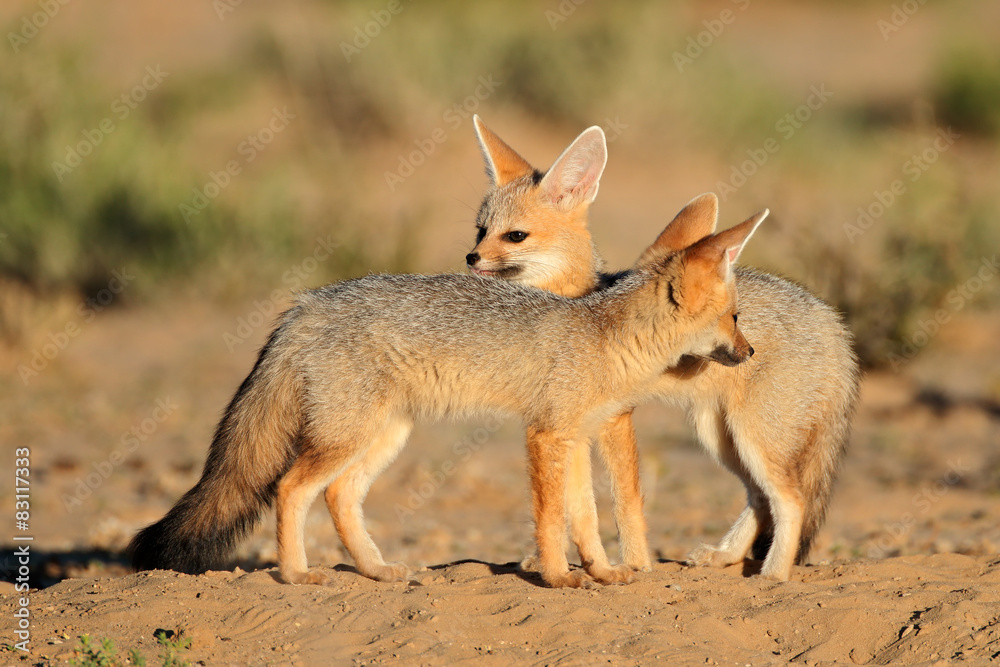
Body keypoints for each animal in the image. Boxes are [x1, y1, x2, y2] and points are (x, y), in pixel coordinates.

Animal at [129, 205, 760, 588]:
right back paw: (297, 575)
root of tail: (306, 304)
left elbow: (584, 517)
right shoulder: (545, 436)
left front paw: (602, 572)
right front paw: (558, 577)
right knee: (291, 489)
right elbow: (552, 519)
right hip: (347, 437)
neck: (605, 338)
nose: (750, 351)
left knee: (338, 496)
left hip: (382, 436)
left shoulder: (577, 439)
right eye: (734, 317)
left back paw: (376, 570)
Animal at [468, 116, 860, 580]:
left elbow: (625, 500)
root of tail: (832, 321)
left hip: (753, 437)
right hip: (720, 435)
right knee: (760, 498)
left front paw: (634, 563)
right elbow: (566, 497)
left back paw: (774, 573)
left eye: (515, 236)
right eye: (480, 230)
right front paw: (555, 560)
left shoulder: (615, 420)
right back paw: (725, 556)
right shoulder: (561, 421)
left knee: (790, 499)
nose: (471, 258)